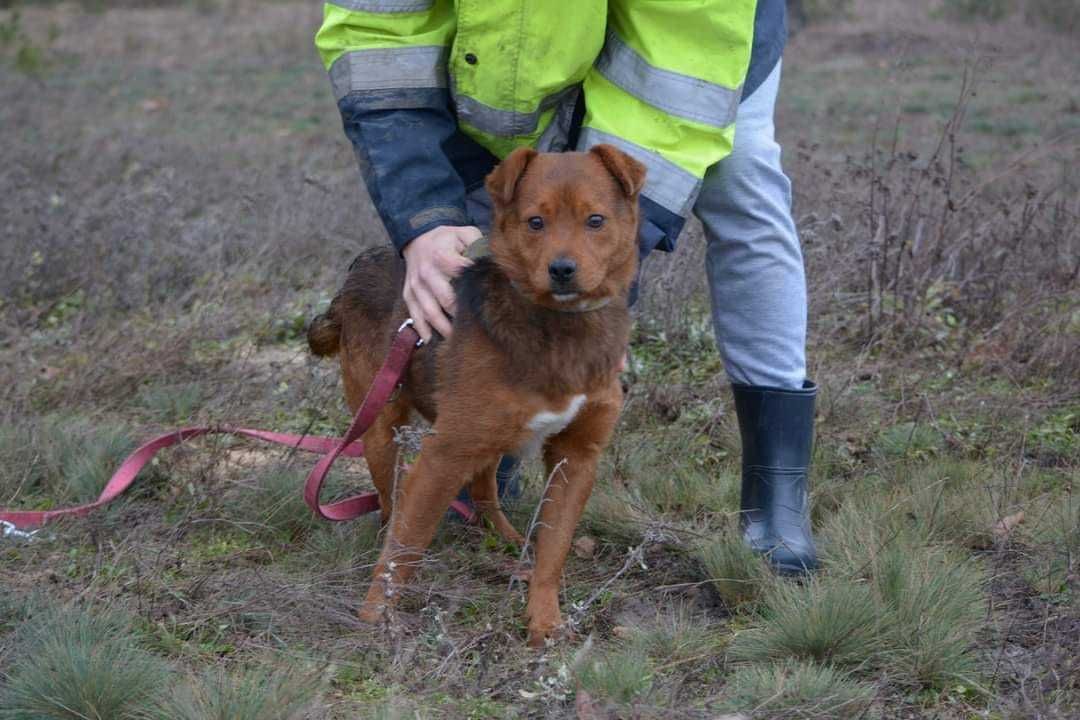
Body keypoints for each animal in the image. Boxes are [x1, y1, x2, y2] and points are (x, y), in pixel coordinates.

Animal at [306, 143, 639, 643]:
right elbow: (406, 545)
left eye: (595, 220)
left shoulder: (577, 456)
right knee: (390, 507)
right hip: (383, 427)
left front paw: (544, 621)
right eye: (535, 222)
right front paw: (374, 618)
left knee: (484, 493)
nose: (562, 271)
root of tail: (358, 265)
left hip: (486, 436)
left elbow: (554, 548)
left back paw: (506, 538)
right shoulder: (443, 454)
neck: (558, 329)